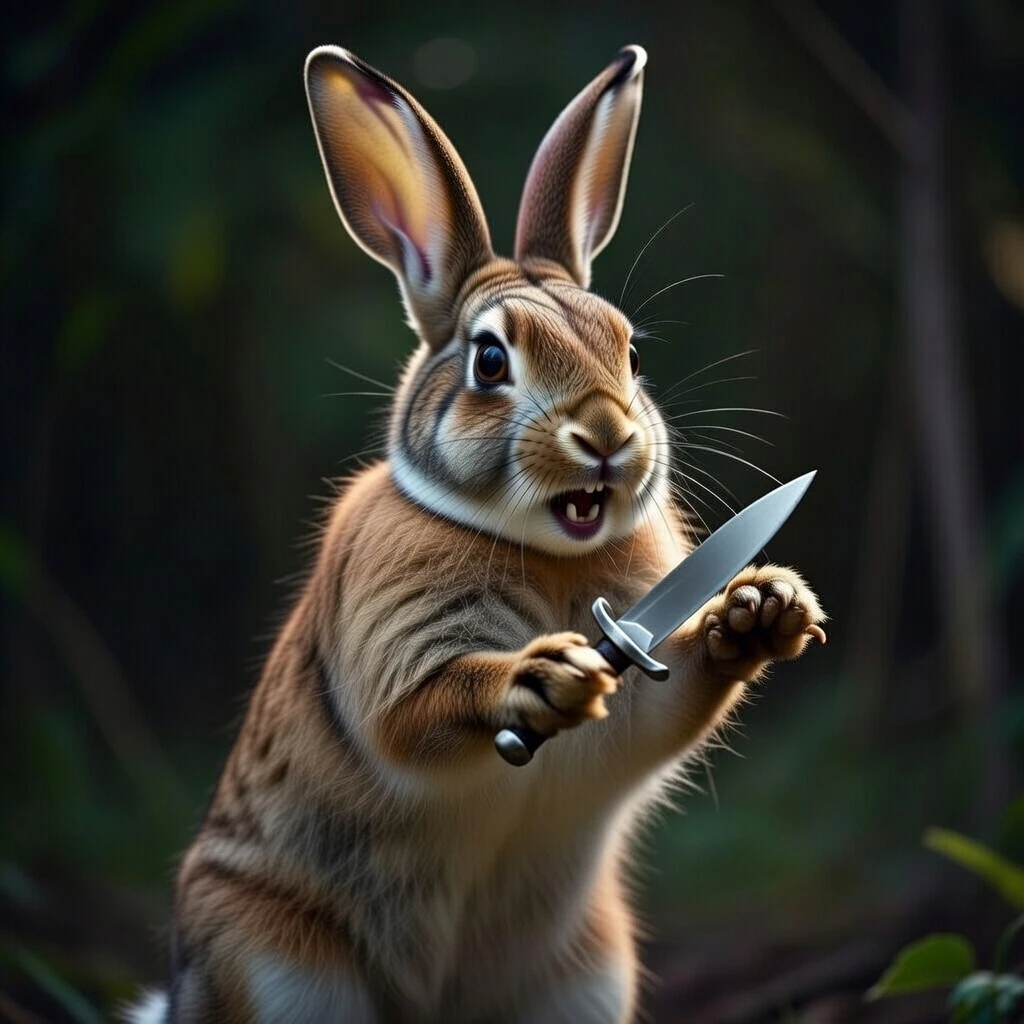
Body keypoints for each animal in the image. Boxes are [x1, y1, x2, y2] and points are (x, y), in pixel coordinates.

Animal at [128, 43, 826, 1024]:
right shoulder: (397, 644)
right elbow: (415, 711)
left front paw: (762, 609)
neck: (557, 555)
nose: (607, 435)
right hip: (273, 965)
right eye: (490, 360)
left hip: (582, 973)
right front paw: (541, 680)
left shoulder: (637, 692)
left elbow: (671, 695)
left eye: (631, 351)